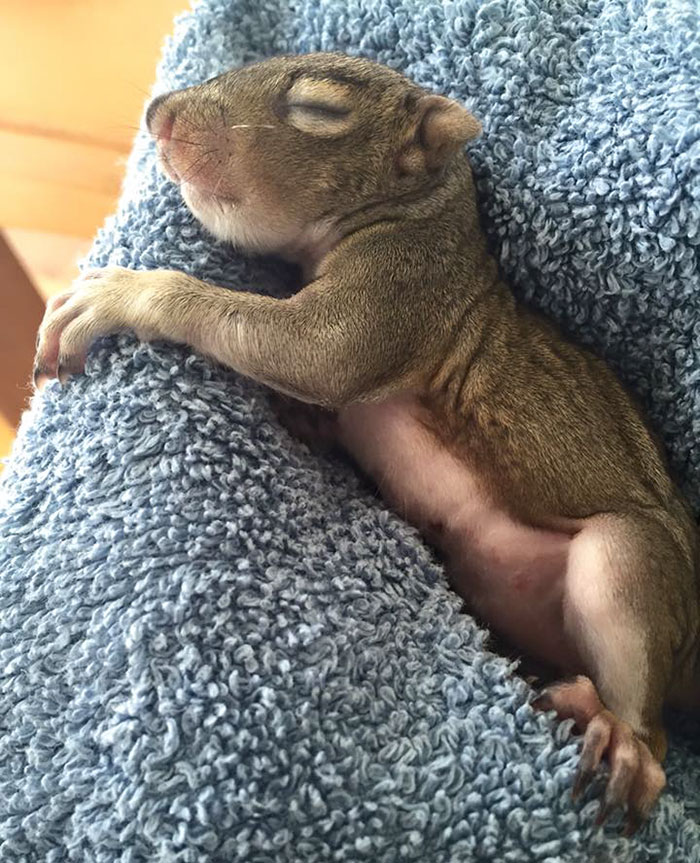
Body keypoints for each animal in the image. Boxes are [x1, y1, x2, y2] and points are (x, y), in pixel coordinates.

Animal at [34, 53, 700, 833]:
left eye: (319, 110)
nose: (158, 114)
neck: (421, 211)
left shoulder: (399, 287)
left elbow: (319, 354)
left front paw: (121, 294)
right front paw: (299, 421)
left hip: (629, 564)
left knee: (652, 736)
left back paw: (618, 740)